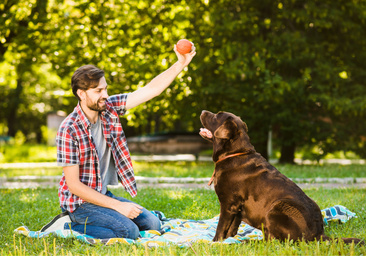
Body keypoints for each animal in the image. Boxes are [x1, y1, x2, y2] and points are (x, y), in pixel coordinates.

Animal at [200, 110, 364, 244]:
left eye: (216, 115)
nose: (202, 111)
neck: (234, 153)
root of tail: (318, 234)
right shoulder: (237, 208)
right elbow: (231, 228)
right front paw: (229, 240)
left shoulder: (228, 204)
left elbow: (221, 227)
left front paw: (214, 243)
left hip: (277, 208)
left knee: (273, 241)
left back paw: (249, 242)